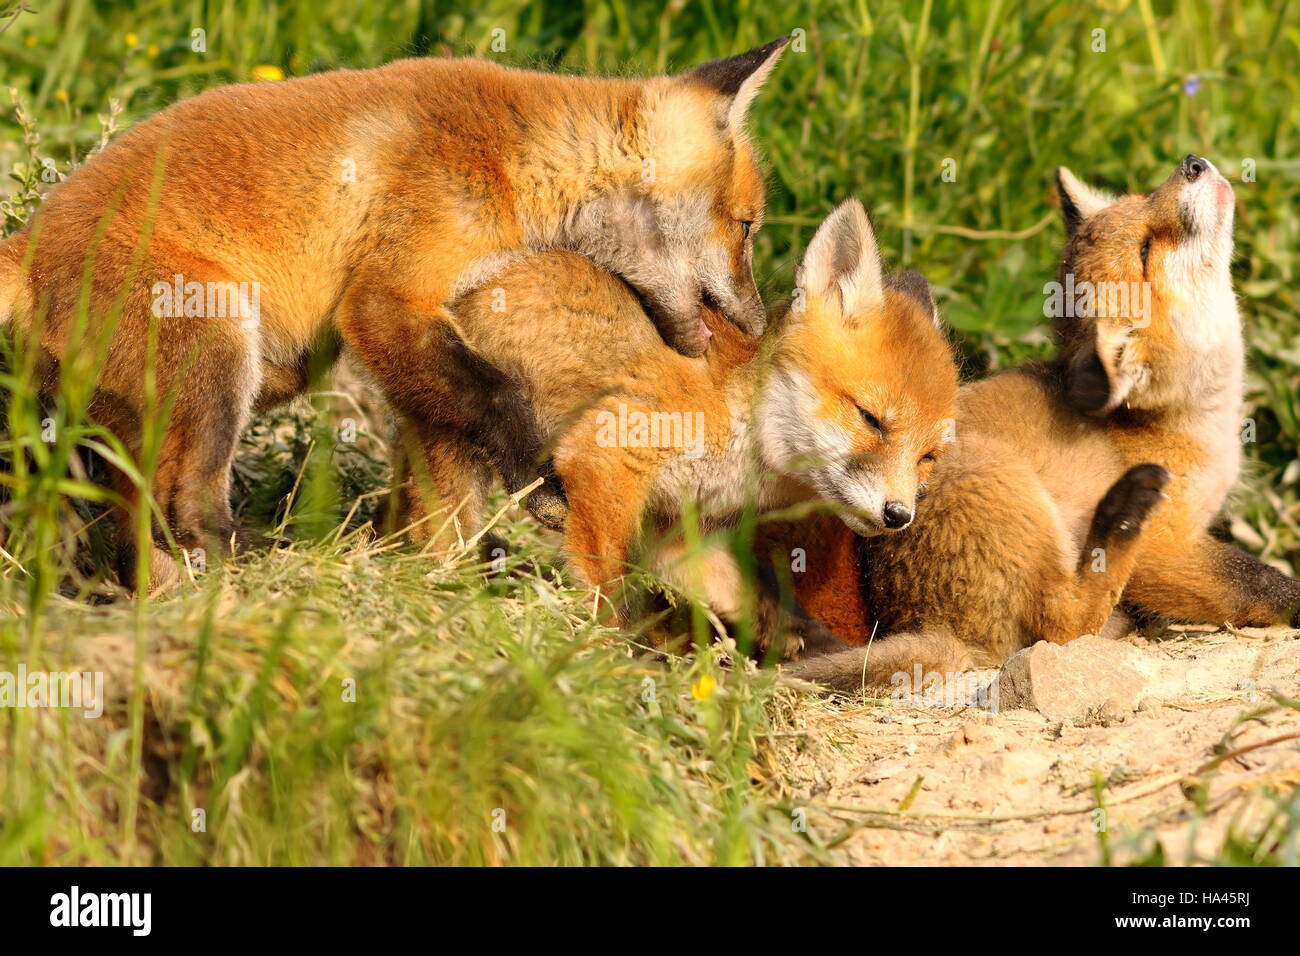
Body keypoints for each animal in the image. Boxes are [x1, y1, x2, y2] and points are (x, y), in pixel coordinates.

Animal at [0, 39, 785, 582]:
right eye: (748, 227)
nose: (757, 325)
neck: (515, 156)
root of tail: (28, 243)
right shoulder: (384, 299)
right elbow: (497, 393)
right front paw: (538, 482)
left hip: (245, 376)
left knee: (134, 511)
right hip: (221, 352)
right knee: (182, 505)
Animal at [780, 155, 1300, 686]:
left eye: (1143, 198)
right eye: (1145, 249)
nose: (1193, 163)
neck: (1185, 420)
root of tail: (922, 621)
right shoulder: (1165, 547)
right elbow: (1257, 582)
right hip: (1002, 480)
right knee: (1061, 624)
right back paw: (1121, 515)